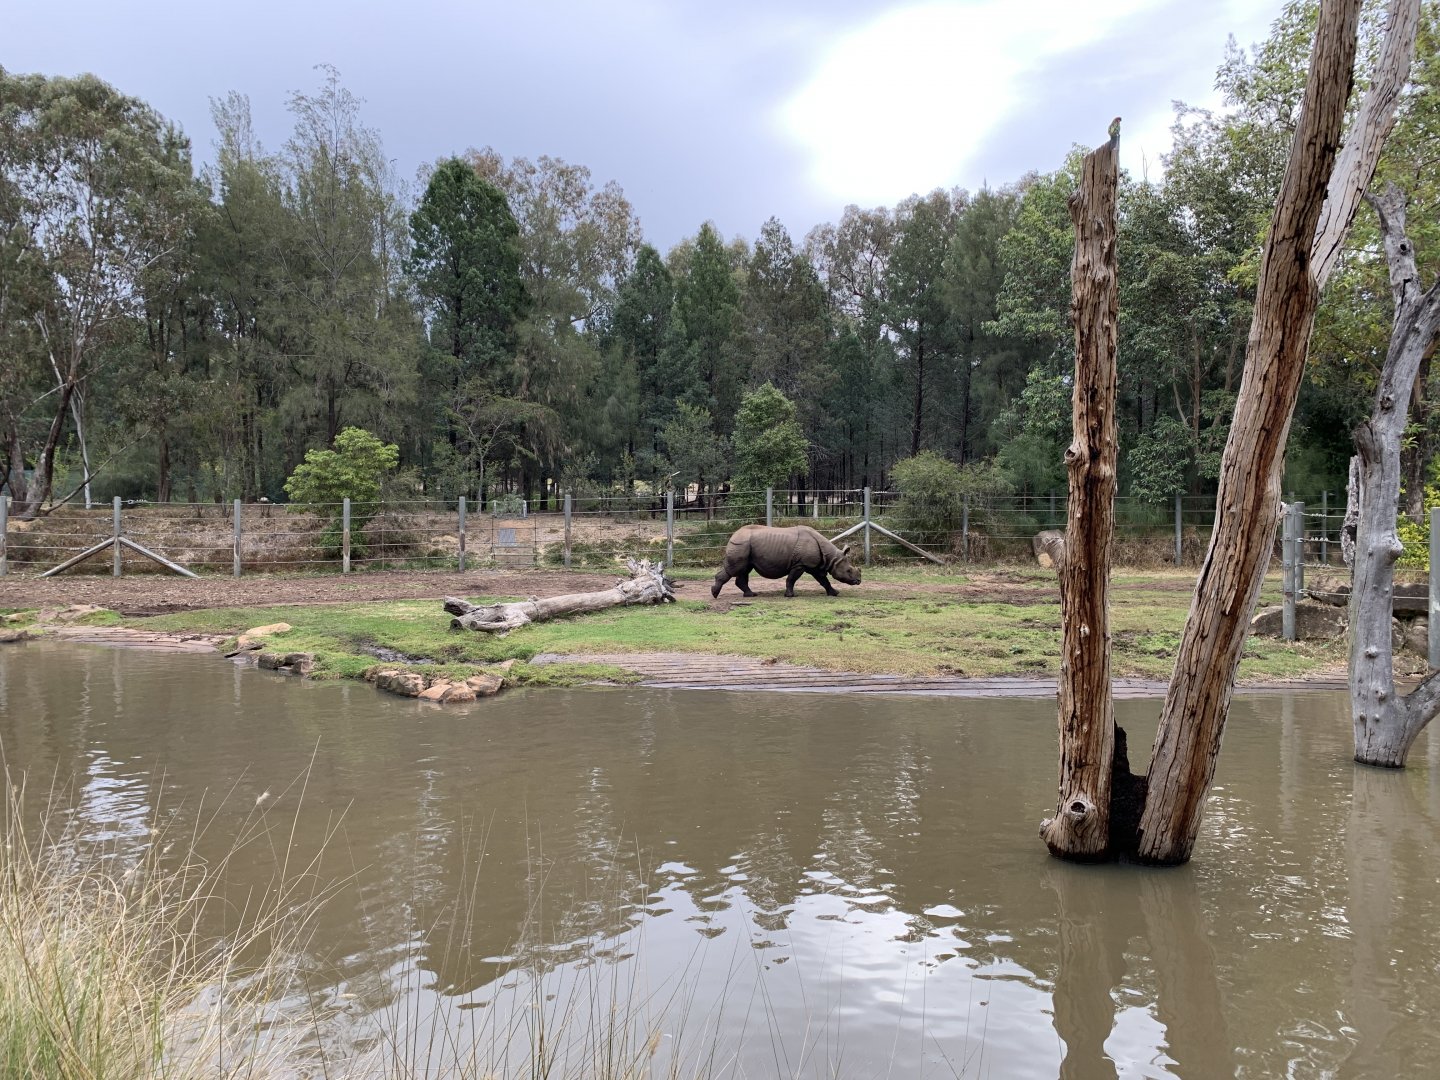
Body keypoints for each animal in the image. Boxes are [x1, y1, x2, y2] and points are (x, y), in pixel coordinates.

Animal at [711, 525, 862, 598]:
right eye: (849, 570)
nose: (858, 581)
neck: (832, 557)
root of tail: (733, 534)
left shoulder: (814, 566)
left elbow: (824, 581)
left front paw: (835, 593)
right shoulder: (800, 564)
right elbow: (791, 579)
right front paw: (790, 595)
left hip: (746, 546)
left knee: (744, 570)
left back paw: (751, 595)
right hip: (741, 544)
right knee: (735, 569)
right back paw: (715, 594)